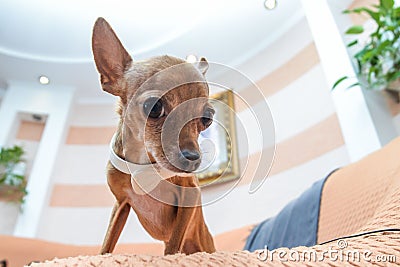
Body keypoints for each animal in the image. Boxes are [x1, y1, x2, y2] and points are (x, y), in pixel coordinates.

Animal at [91, 17, 216, 256]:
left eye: (207, 119)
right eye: (154, 107)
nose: (193, 158)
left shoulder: (190, 195)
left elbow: (173, 244)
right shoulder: (121, 204)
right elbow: (107, 243)